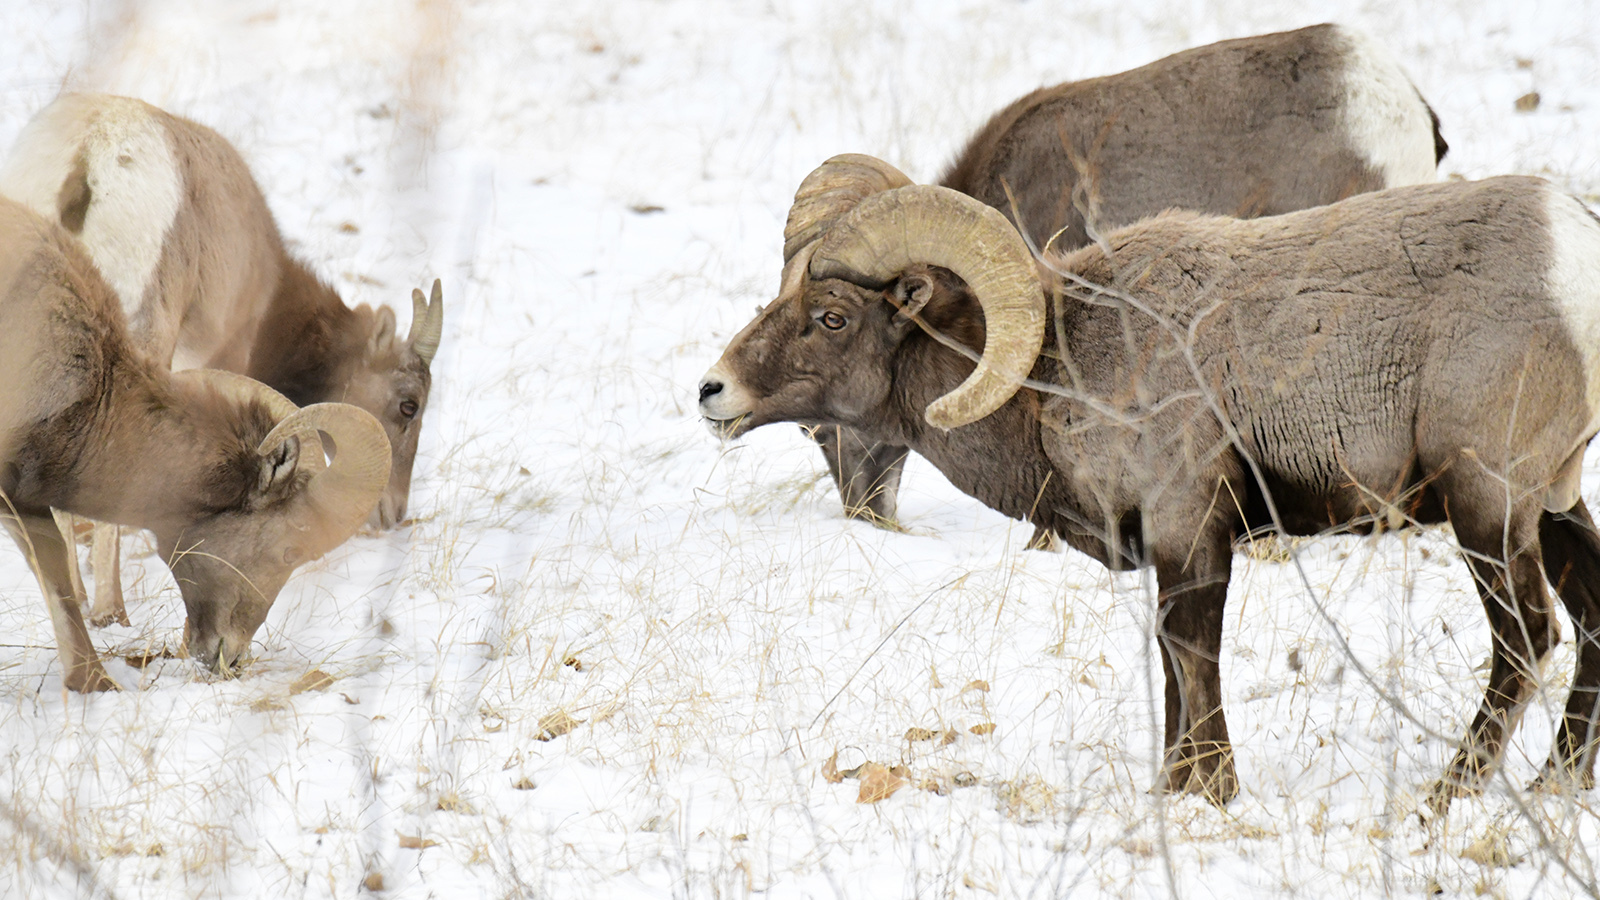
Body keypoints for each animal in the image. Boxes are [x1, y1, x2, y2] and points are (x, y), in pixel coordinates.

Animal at [699, 154, 1600, 813]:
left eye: (833, 317)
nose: (713, 393)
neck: (1057, 374)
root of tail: (1574, 263)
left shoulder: (1188, 527)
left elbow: (1191, 656)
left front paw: (1212, 793)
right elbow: (1173, 667)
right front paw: (1173, 790)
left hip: (1488, 508)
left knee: (1526, 641)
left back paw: (1444, 798)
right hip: (1555, 505)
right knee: (1588, 619)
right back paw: (1555, 783)